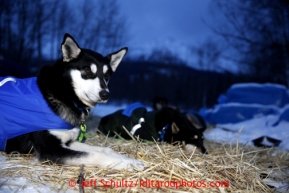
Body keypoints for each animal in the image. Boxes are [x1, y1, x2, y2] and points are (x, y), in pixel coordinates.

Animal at [0, 33, 144, 170]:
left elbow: (105, 149)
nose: (105, 94)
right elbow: (96, 154)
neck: (64, 94)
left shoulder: (69, 142)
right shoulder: (51, 149)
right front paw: (126, 164)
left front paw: (129, 160)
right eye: (87, 70)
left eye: (107, 75)